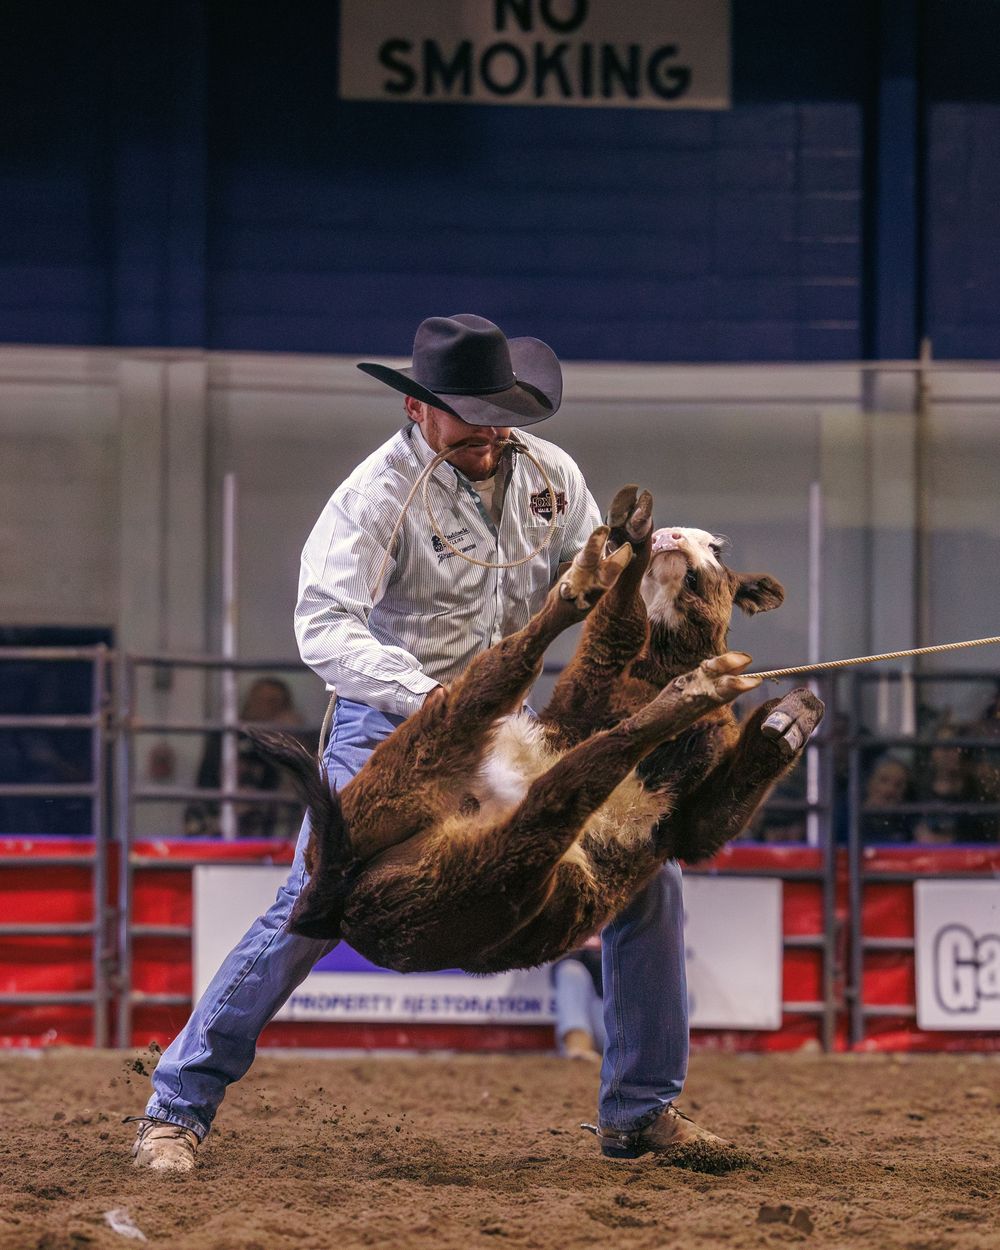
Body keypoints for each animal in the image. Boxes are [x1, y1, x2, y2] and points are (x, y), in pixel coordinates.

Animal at [261, 486, 823, 975]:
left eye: (716, 549)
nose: (671, 536)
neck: (657, 668)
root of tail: (333, 898)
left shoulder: (689, 823)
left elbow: (720, 807)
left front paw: (789, 720)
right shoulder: (586, 686)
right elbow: (618, 627)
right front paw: (635, 548)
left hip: (431, 795)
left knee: (511, 697)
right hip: (497, 863)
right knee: (574, 766)